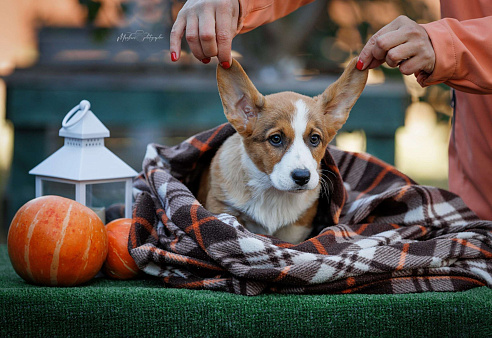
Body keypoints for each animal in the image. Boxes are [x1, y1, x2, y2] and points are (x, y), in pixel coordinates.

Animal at [195, 57, 366, 243]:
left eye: (314, 139)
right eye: (276, 139)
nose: (302, 177)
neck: (273, 194)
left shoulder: (295, 230)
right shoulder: (222, 208)